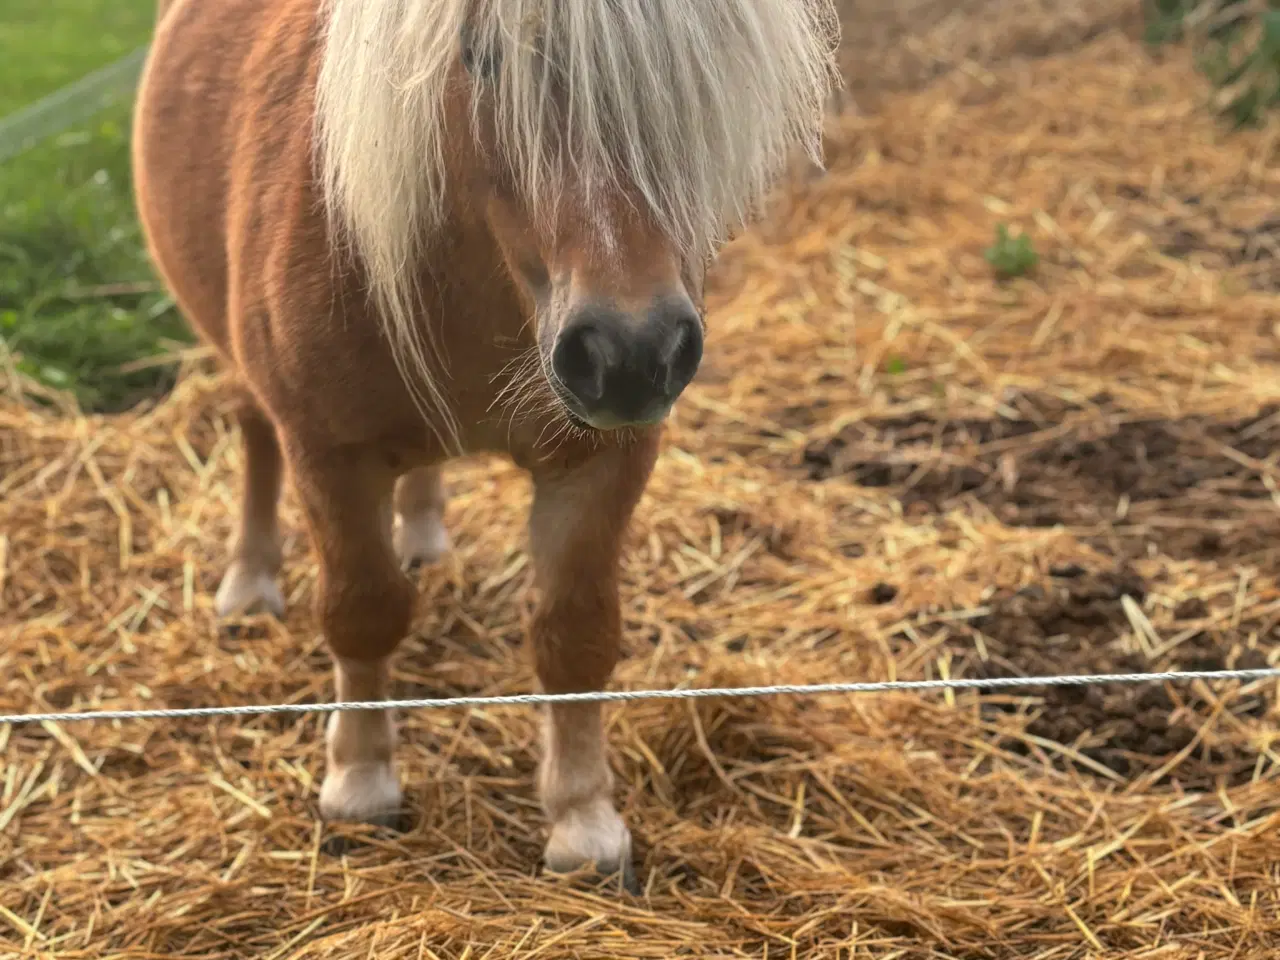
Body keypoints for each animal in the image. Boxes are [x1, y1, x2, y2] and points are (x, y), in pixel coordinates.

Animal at [135, 0, 839, 890]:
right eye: (482, 59)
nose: (631, 355)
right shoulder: (329, 454)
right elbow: (362, 614)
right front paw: (360, 783)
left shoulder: (601, 463)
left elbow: (575, 635)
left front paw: (584, 822)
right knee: (254, 436)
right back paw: (250, 584)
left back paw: (423, 537)